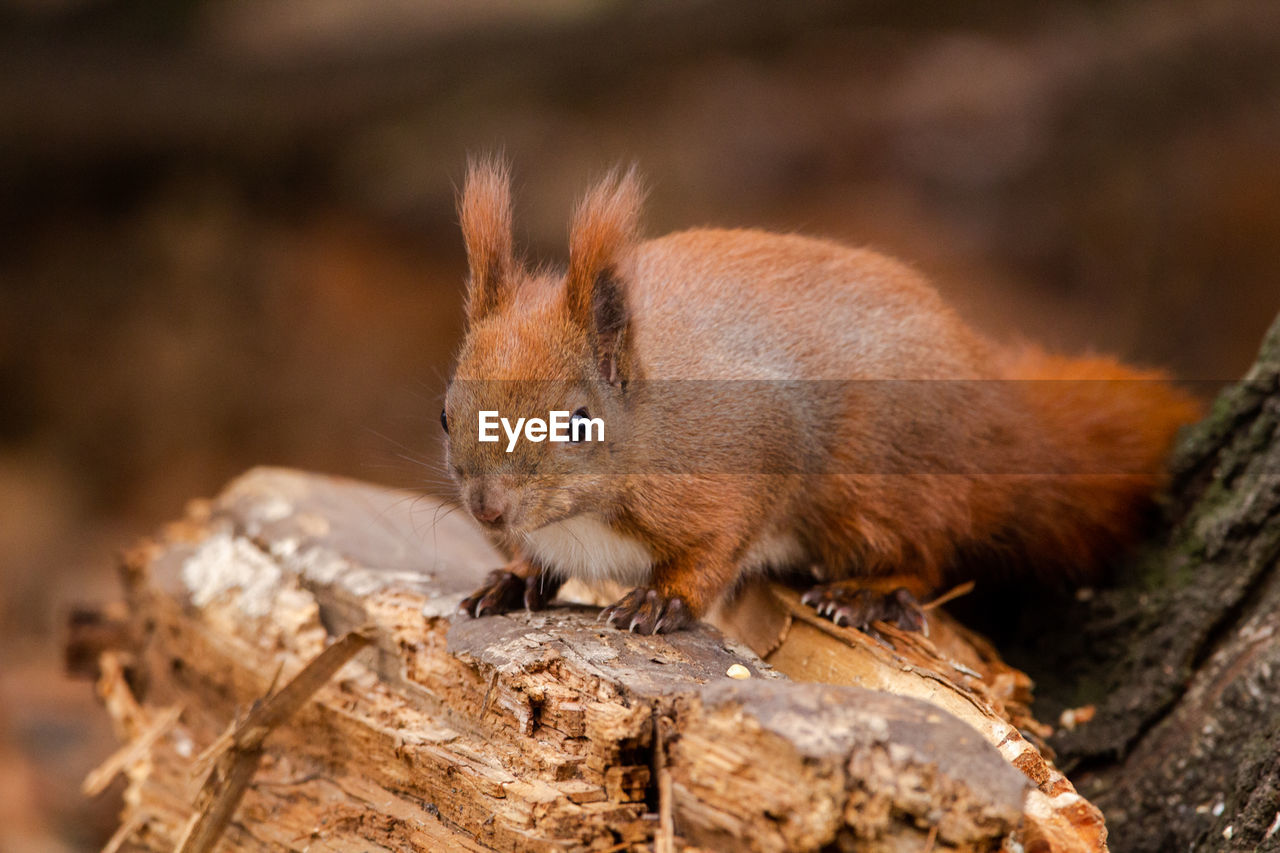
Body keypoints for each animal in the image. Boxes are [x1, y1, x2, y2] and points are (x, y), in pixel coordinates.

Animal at [442, 162, 1198, 635]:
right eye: (445, 413)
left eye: (578, 422)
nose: (487, 508)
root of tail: (998, 417)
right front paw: (511, 577)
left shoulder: (749, 449)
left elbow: (715, 548)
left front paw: (663, 599)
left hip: (878, 487)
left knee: (930, 556)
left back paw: (865, 594)